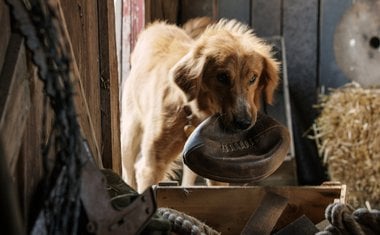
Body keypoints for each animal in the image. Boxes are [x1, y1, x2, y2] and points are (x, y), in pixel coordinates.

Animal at [121, 17, 280, 192]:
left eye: (253, 78)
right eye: (222, 77)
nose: (244, 123)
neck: (193, 111)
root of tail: (157, 26)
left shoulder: (215, 166)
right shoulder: (152, 165)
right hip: (129, 136)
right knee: (127, 171)